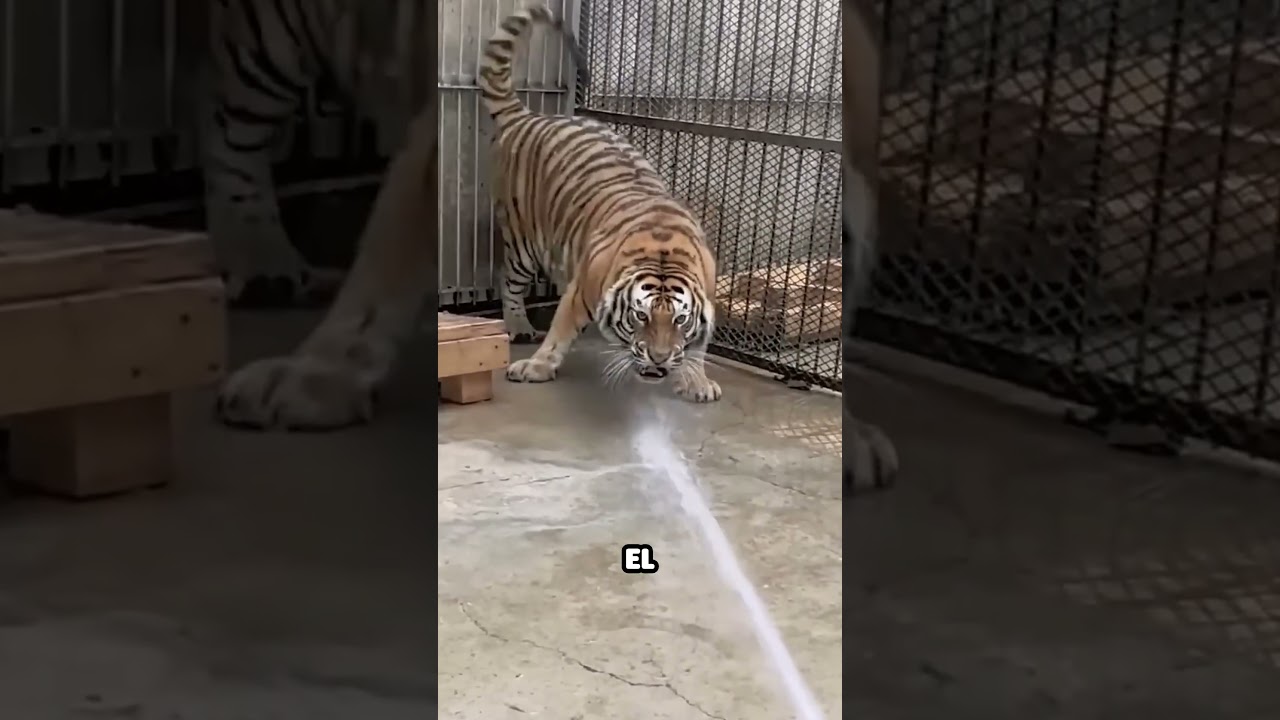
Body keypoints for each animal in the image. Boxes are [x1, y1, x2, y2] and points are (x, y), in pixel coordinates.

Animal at [480, 5, 722, 403]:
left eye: (679, 319)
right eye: (641, 316)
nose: (658, 359)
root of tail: (529, 116)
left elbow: (698, 346)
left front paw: (696, 381)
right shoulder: (580, 290)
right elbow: (558, 332)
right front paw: (536, 367)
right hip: (522, 241)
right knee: (509, 280)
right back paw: (519, 326)